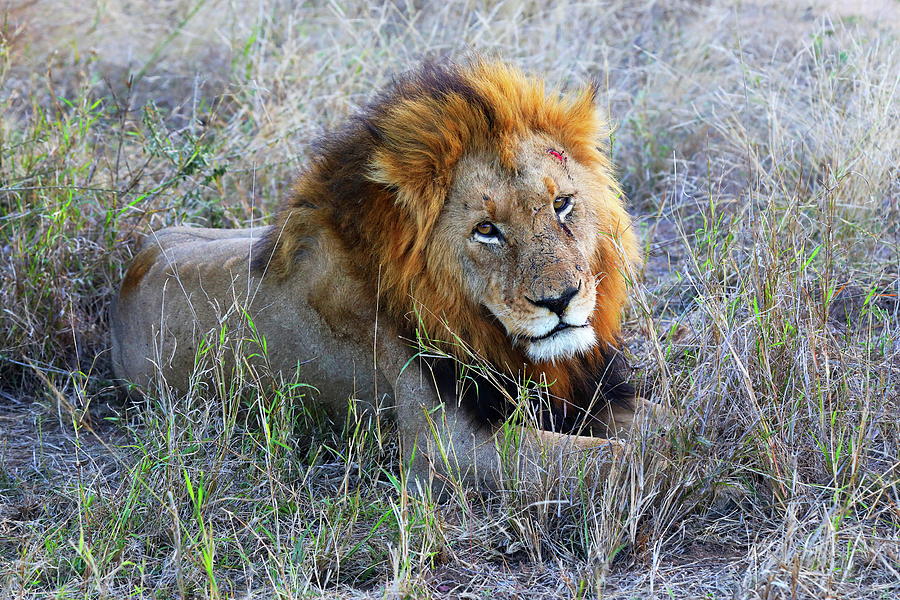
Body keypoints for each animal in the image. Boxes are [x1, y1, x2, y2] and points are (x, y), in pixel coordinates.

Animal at [114, 61, 660, 490]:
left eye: (562, 204)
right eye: (486, 230)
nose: (561, 299)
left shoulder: (590, 393)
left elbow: (663, 423)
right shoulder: (445, 446)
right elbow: (618, 457)